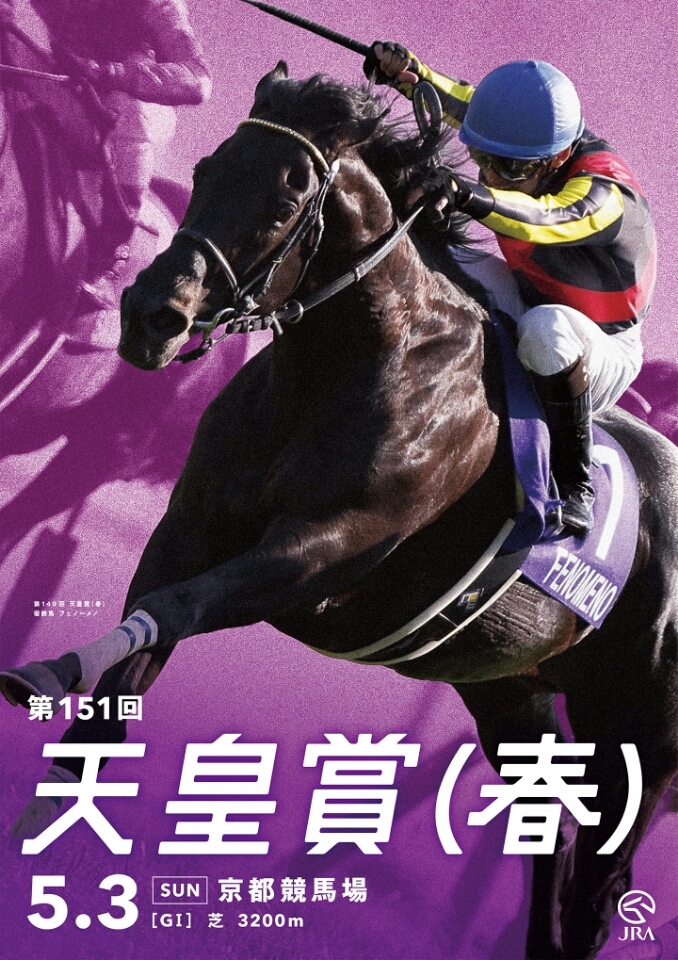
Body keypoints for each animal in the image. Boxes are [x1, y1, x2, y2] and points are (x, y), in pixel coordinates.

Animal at [2, 64, 677, 960]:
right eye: (208, 168)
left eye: (290, 194)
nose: (152, 315)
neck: (351, 361)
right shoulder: (189, 531)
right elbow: (122, 683)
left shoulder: (323, 554)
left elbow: (175, 606)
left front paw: (48, 669)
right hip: (509, 687)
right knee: (548, 833)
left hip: (637, 724)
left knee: (601, 885)